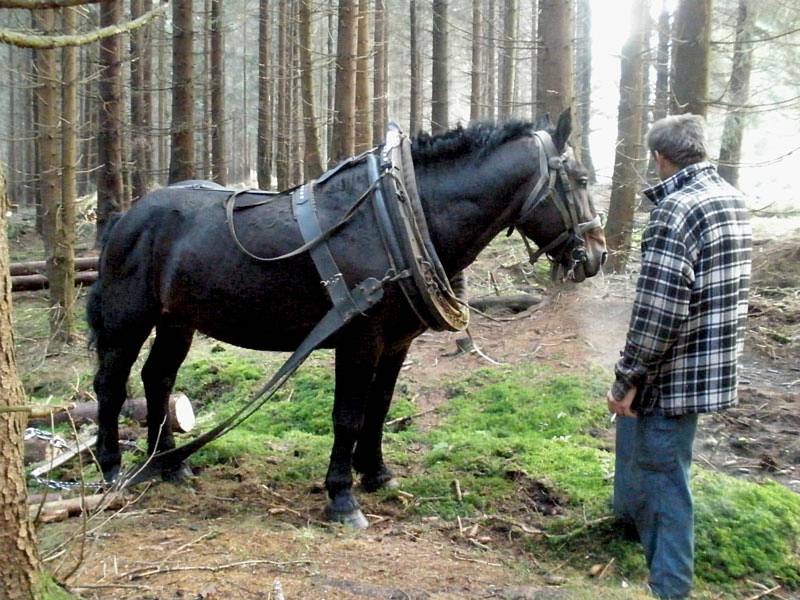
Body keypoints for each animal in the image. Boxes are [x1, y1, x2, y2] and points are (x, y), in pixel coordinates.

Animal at [87, 110, 608, 528]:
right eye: (582, 179)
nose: (599, 254)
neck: (397, 222)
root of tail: (125, 219)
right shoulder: (361, 340)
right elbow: (349, 416)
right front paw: (341, 497)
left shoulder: (397, 342)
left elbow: (380, 408)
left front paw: (377, 473)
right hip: (127, 318)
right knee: (112, 383)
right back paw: (112, 466)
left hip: (178, 320)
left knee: (158, 378)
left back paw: (168, 463)